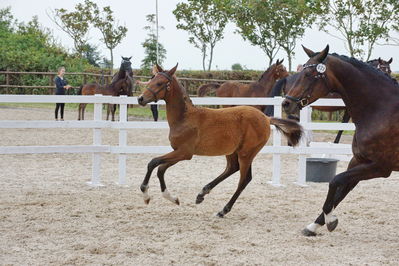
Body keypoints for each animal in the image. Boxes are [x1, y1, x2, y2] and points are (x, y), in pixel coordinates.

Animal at [138, 63, 304, 217]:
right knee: (232, 168)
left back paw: (223, 210)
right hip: (232, 151)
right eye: (152, 79)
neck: (185, 117)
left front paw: (145, 194)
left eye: (159, 83)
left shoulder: (185, 153)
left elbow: (153, 162)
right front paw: (172, 198)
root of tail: (266, 118)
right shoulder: (178, 152)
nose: (140, 99)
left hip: (247, 153)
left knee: (244, 179)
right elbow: (160, 168)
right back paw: (202, 193)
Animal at [266, 56, 394, 143]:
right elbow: (343, 126)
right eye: (383, 69)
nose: (389, 80)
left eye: (389, 71)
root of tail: (287, 78)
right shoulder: (349, 110)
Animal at [282, 44, 399, 236]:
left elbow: (335, 181)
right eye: (300, 72)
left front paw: (330, 220)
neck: (381, 111)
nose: (286, 104)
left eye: (309, 74)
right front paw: (314, 225)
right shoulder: (359, 161)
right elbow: (342, 190)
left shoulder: (381, 167)